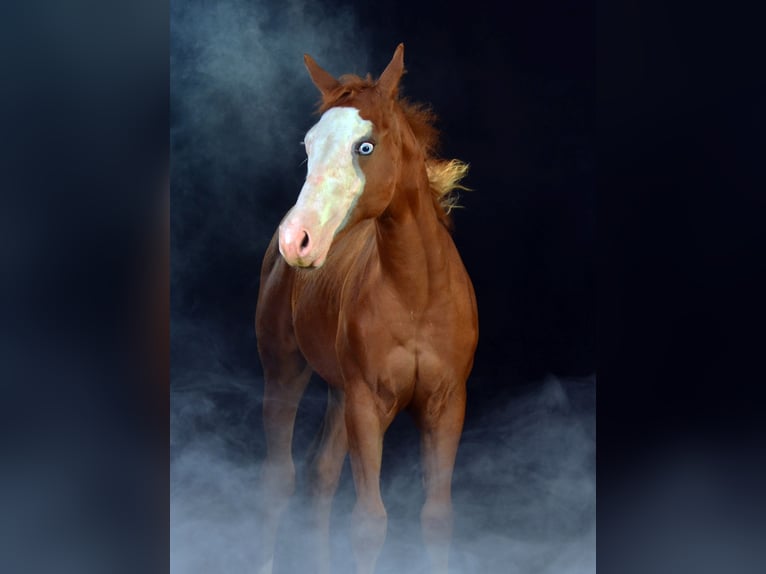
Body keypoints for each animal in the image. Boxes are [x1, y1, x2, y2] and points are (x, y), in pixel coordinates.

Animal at [255, 43, 479, 574]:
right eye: (308, 146)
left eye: (365, 147)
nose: (298, 239)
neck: (417, 296)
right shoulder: (367, 403)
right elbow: (368, 523)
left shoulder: (447, 403)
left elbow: (437, 518)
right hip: (285, 369)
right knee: (278, 480)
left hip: (339, 393)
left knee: (319, 476)